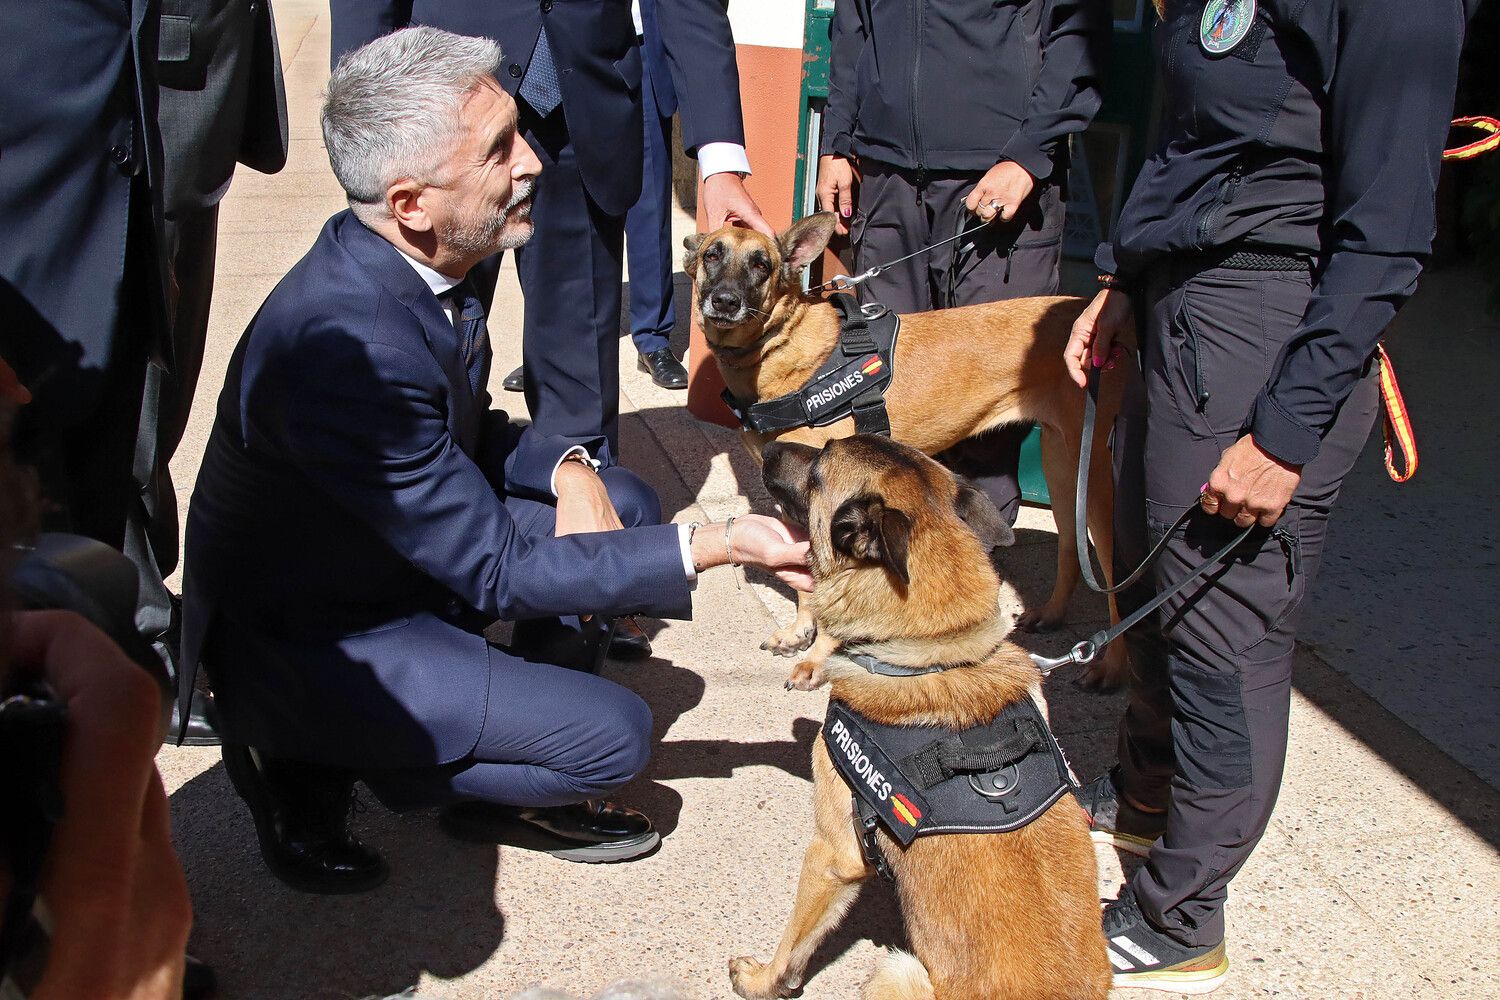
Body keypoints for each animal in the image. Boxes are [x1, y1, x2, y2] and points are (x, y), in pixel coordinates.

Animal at [681, 214, 1128, 689]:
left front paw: (819, 656)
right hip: (1060, 462)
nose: (724, 301)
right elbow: (808, 580)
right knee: (1071, 549)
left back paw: (1111, 666)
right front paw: (801, 629)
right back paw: (1054, 614)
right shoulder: (797, 503)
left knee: (1116, 576)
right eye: (713, 254)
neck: (782, 352)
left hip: (1094, 479)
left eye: (761, 265)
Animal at [732, 437, 1110, 1000]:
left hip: (896, 969)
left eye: (819, 467)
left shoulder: (832, 854)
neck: (935, 651)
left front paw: (763, 980)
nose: (770, 442)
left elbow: (794, 942)